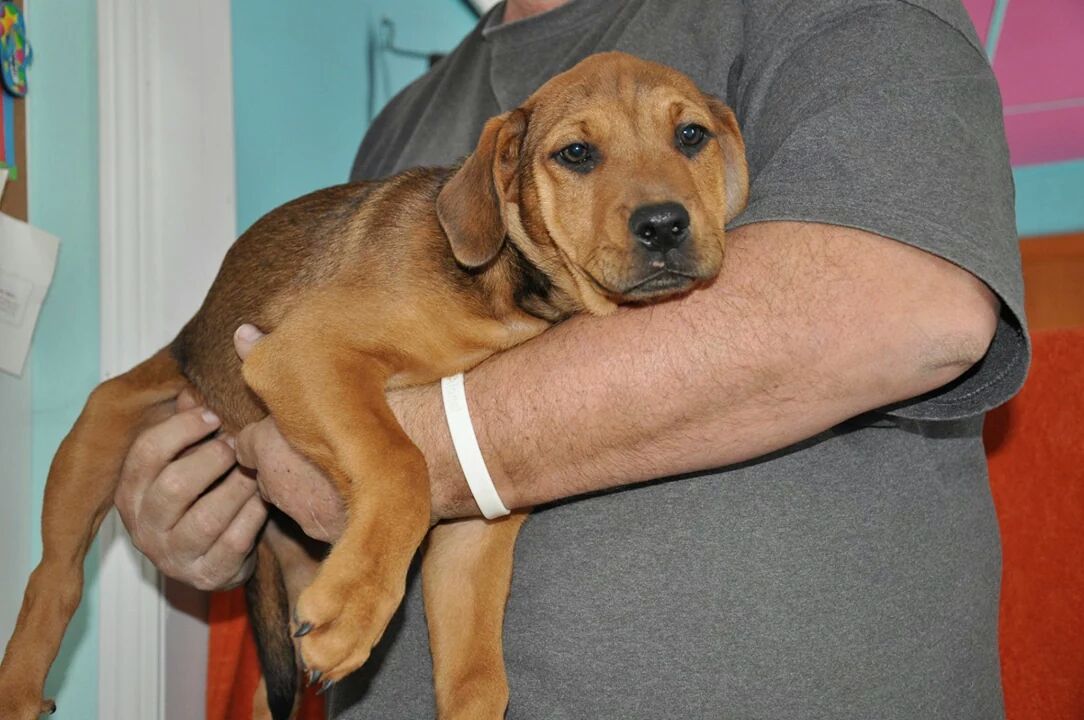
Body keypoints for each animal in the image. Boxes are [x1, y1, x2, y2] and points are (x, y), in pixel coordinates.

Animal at [0, 52, 750, 720]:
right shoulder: (304, 353)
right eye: (575, 154)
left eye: (691, 137)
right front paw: (354, 610)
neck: (508, 292)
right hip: (102, 430)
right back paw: (20, 687)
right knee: (53, 579)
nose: (664, 225)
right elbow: (400, 464)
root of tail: (185, 342)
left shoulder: (474, 536)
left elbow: (478, 681)